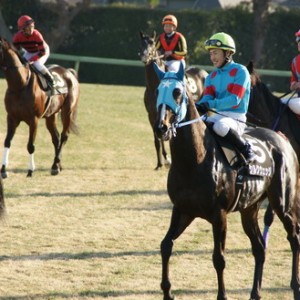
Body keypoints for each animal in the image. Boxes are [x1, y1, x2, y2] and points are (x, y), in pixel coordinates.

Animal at [0, 37, 79, 178]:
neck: (20, 86)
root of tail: (69, 73)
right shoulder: (12, 118)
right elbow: (7, 141)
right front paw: (3, 170)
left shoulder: (34, 120)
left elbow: (30, 145)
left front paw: (30, 170)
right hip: (51, 115)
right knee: (56, 138)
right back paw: (57, 165)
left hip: (67, 111)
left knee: (64, 136)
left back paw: (55, 166)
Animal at [138, 31, 206, 170]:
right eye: (141, 43)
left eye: (152, 43)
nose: (144, 56)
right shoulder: (152, 115)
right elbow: (157, 139)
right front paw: (160, 162)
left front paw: (169, 159)